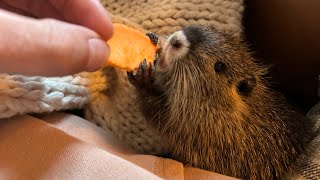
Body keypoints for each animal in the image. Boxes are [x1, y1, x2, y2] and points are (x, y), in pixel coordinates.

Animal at [127, 25, 316, 180]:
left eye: (219, 66)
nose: (177, 40)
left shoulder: (201, 133)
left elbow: (162, 119)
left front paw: (143, 79)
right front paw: (154, 39)